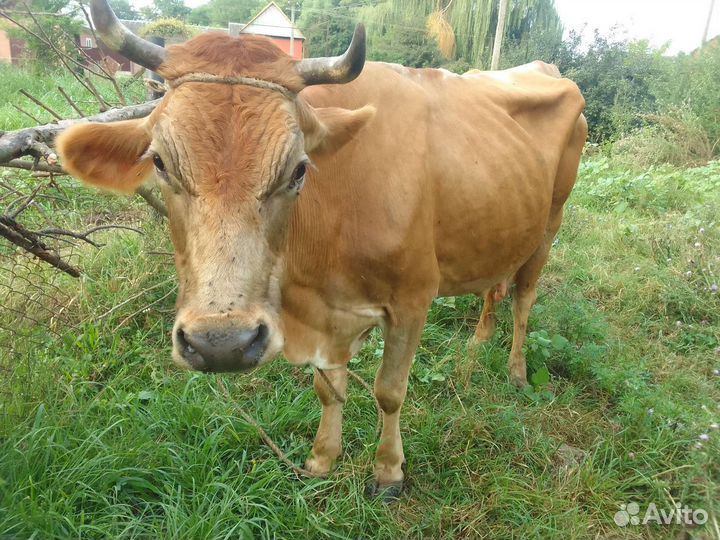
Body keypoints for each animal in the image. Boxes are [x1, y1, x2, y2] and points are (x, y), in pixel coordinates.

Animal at [56, 0, 587, 501]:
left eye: (298, 169)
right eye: (160, 163)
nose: (221, 343)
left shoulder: (413, 299)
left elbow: (389, 391)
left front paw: (388, 472)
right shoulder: (327, 313)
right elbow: (328, 389)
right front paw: (322, 459)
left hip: (551, 222)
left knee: (524, 297)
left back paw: (516, 371)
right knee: (495, 286)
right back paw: (477, 343)